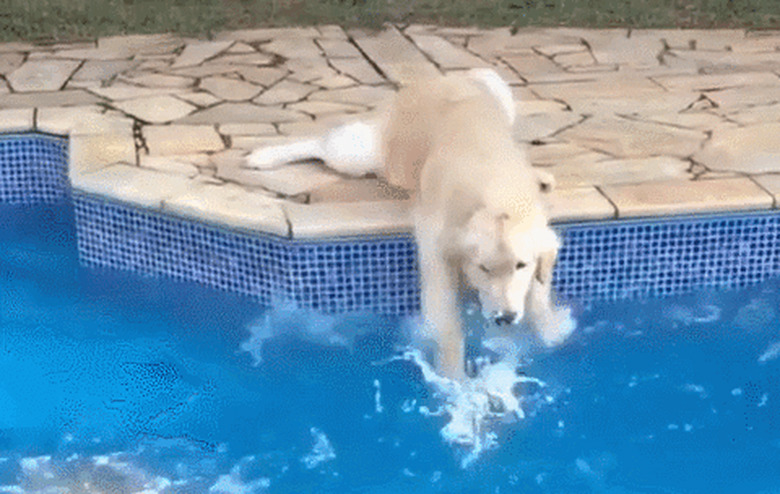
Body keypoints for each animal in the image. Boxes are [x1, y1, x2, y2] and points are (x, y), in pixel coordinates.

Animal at [247, 68, 576, 378]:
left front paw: (551, 330)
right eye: (483, 268)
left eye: (521, 265)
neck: (494, 191)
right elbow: (447, 324)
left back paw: (541, 176)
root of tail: (431, 80)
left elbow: (539, 294)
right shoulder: (436, 250)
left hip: (493, 83)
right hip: (361, 154)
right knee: (320, 144)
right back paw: (264, 156)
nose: (504, 318)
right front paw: (454, 381)